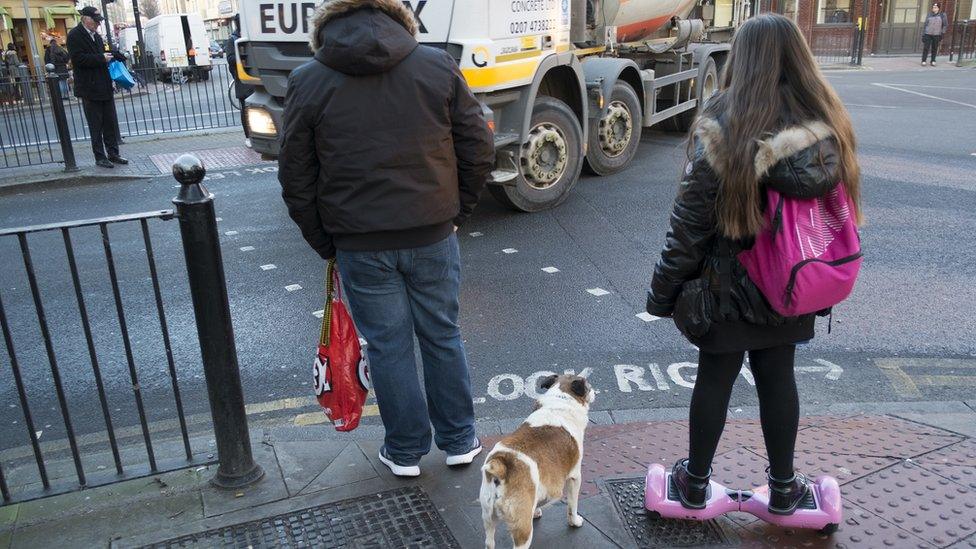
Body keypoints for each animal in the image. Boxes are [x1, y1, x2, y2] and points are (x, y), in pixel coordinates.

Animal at [480, 372, 596, 548]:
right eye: (588, 387)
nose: (594, 391)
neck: (560, 399)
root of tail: (502, 465)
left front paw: (536, 511)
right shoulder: (575, 477)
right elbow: (572, 505)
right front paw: (574, 521)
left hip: (487, 517)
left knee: (489, 541)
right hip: (523, 531)